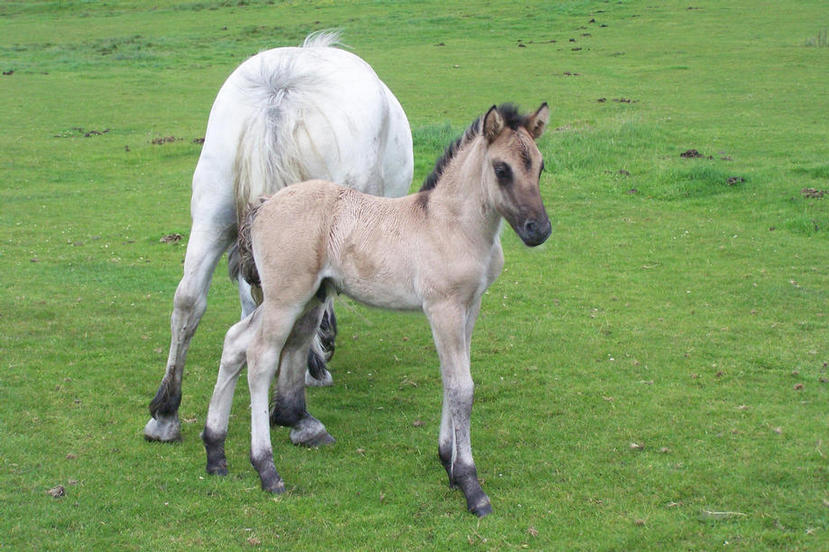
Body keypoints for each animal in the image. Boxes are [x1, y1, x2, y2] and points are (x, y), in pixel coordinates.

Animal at [143, 32, 414, 443]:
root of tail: (279, 94)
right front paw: (312, 367)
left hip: (211, 215)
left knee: (188, 301)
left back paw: (165, 412)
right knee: (303, 316)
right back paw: (297, 414)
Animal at [200, 103, 551, 517]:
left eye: (540, 167)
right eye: (501, 169)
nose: (538, 230)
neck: (448, 223)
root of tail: (265, 203)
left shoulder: (470, 307)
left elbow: (452, 380)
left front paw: (448, 464)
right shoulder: (444, 308)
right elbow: (461, 387)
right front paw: (470, 485)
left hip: (295, 297)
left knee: (235, 342)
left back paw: (215, 452)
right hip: (287, 298)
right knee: (260, 356)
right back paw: (266, 470)